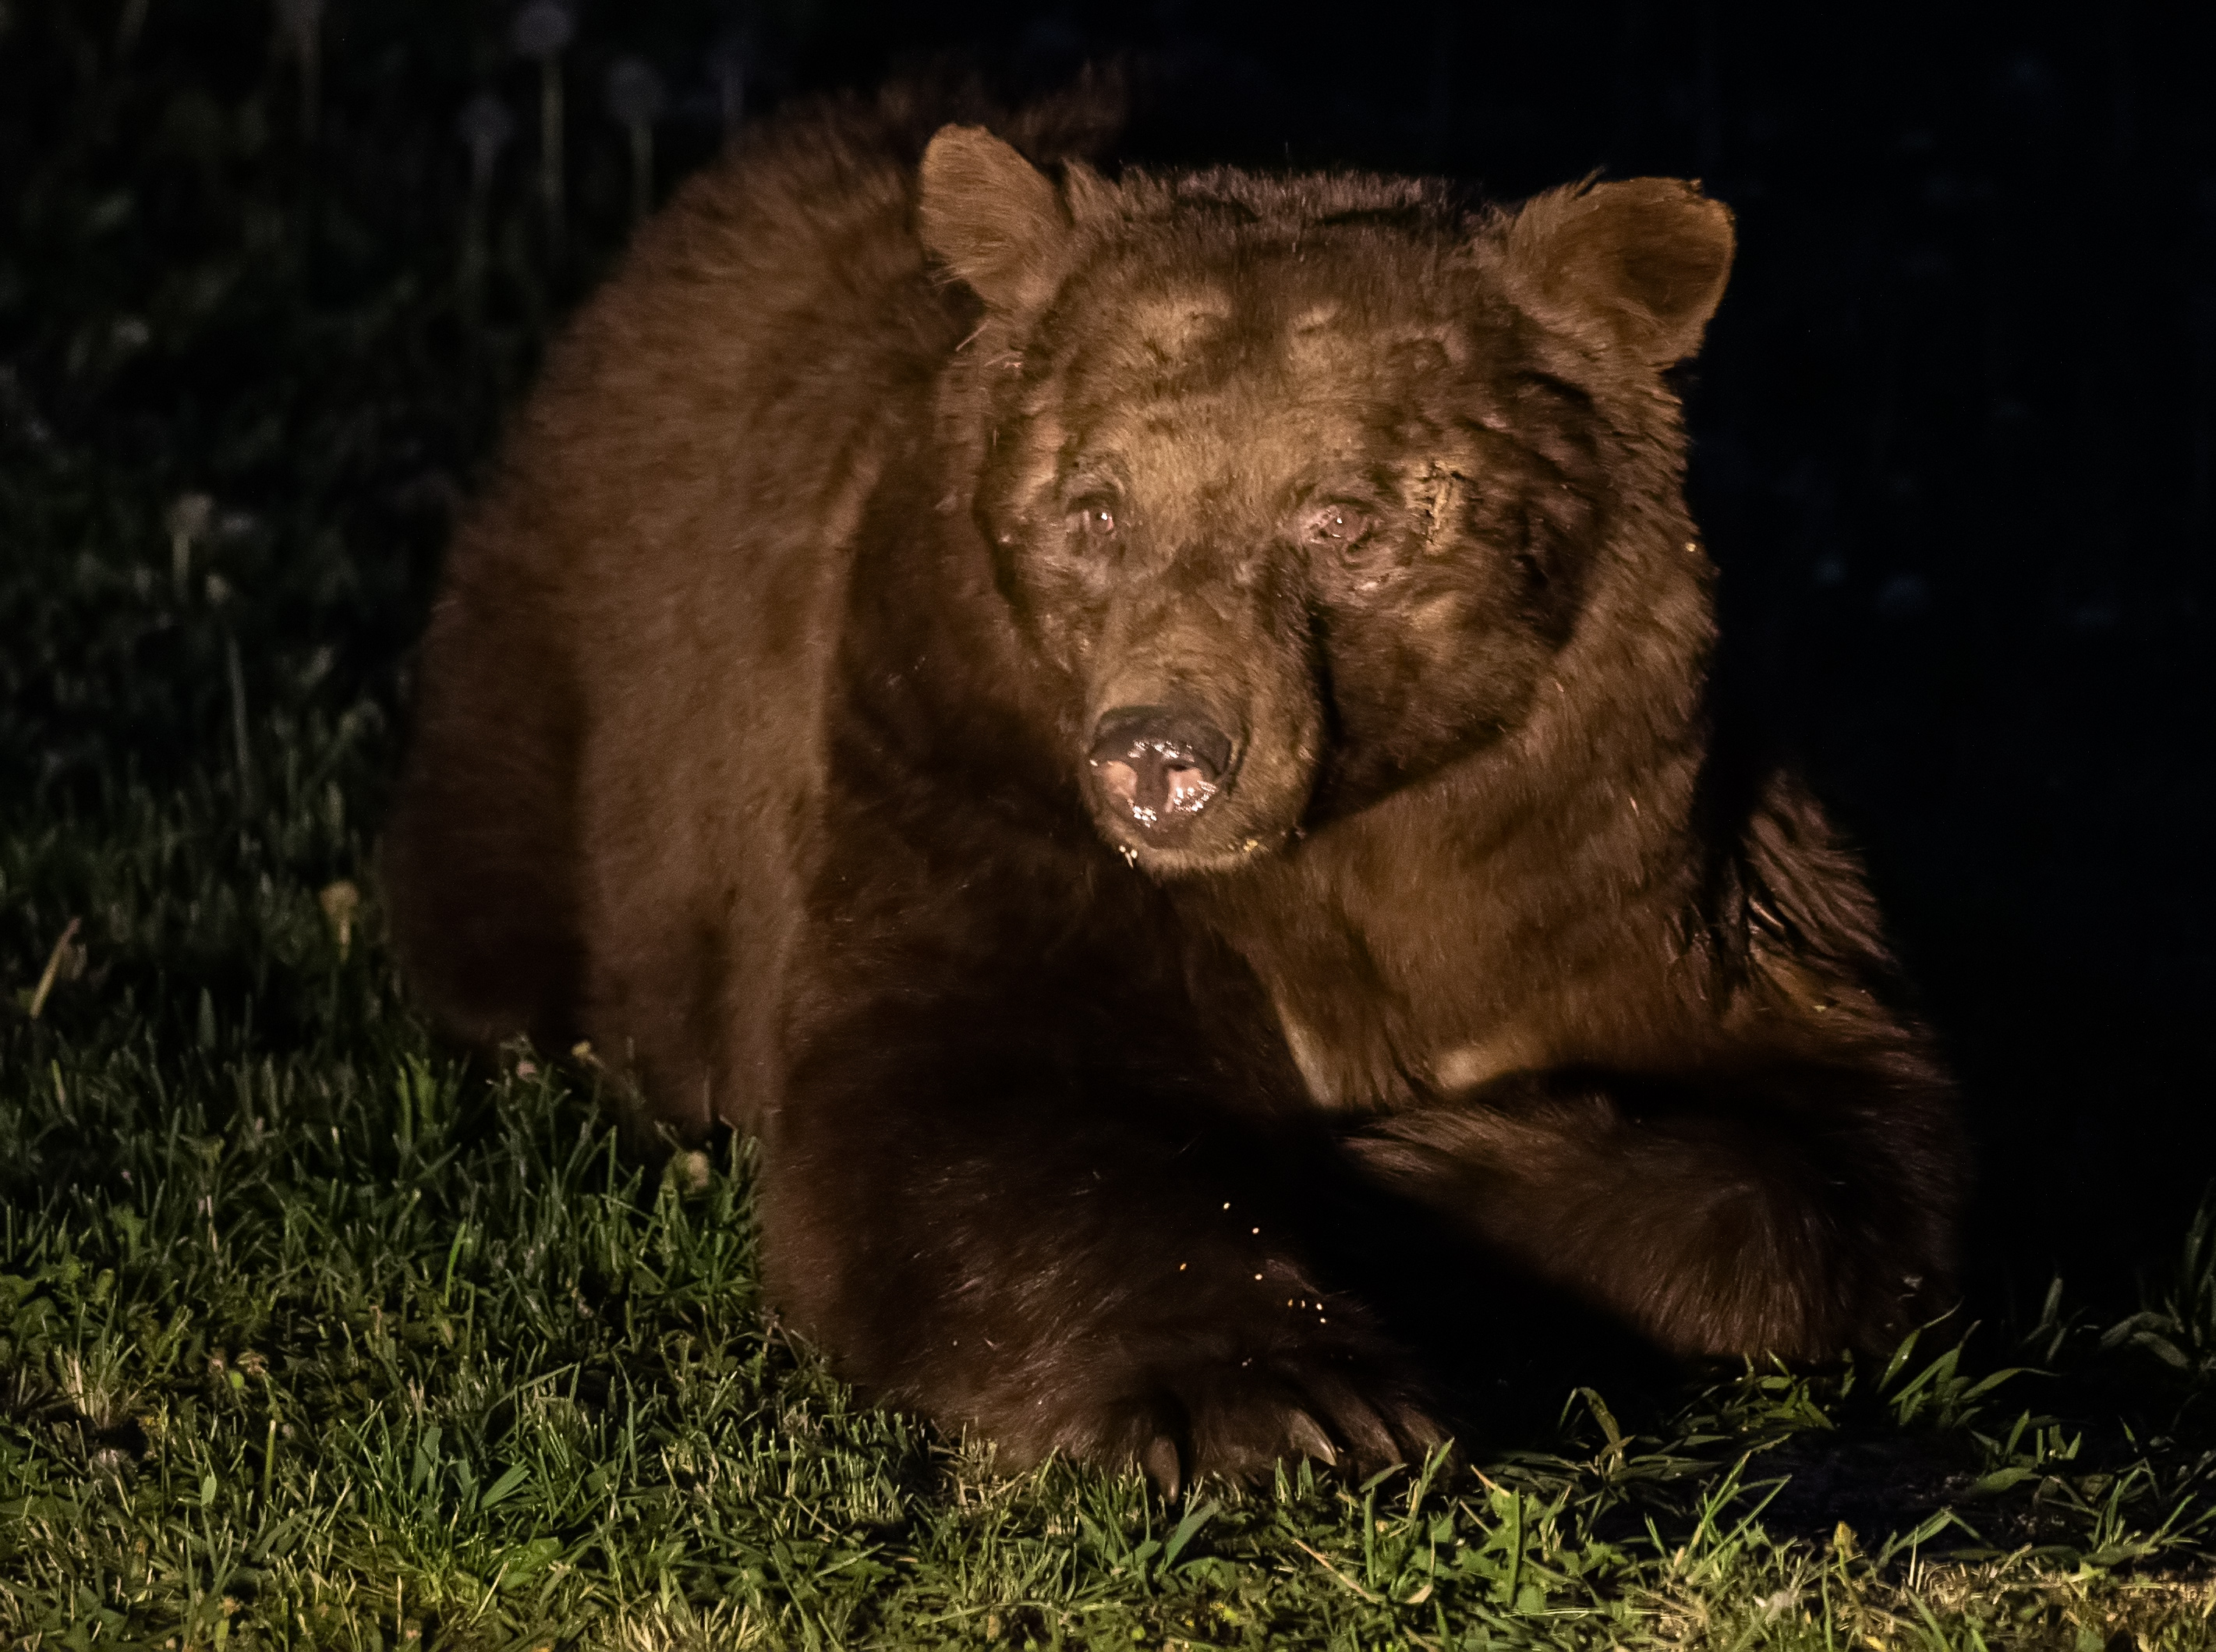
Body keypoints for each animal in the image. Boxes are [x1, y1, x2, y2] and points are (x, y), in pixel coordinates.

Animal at [382, 84, 1966, 1493]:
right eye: (1094, 506)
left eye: (1342, 517)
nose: (1160, 753)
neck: (1344, 849)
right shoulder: (964, 761)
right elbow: (970, 1112)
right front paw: (1287, 1398)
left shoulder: (1617, 842)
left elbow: (1835, 1135)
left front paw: (1406, 1167)